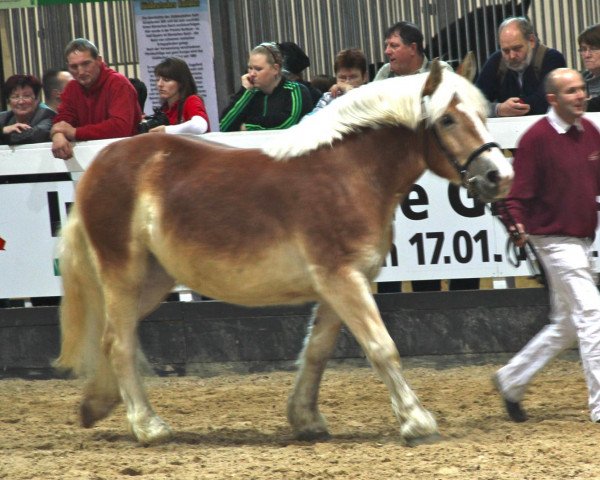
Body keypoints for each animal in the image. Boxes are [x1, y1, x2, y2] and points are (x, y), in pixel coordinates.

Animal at [56, 60, 512, 446]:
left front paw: (305, 420)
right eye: (448, 119)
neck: (348, 174)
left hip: (153, 280)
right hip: (123, 272)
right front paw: (418, 423)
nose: (499, 176)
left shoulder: (342, 282)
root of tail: (101, 165)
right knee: (118, 342)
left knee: (117, 337)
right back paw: (148, 426)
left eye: (482, 114)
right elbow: (382, 347)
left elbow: (316, 351)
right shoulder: (341, 278)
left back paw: (98, 404)